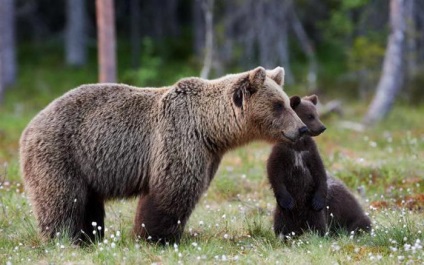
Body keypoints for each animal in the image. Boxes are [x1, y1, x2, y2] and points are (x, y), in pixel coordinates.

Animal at [20, 66, 308, 243]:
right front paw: (156, 236)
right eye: (278, 105)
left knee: (88, 203)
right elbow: (172, 190)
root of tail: (30, 125)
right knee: (63, 200)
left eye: (287, 101)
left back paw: (89, 237)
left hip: (85, 167)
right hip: (61, 155)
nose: (302, 128)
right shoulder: (178, 139)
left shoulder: (208, 154)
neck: (210, 129)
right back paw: (65, 238)